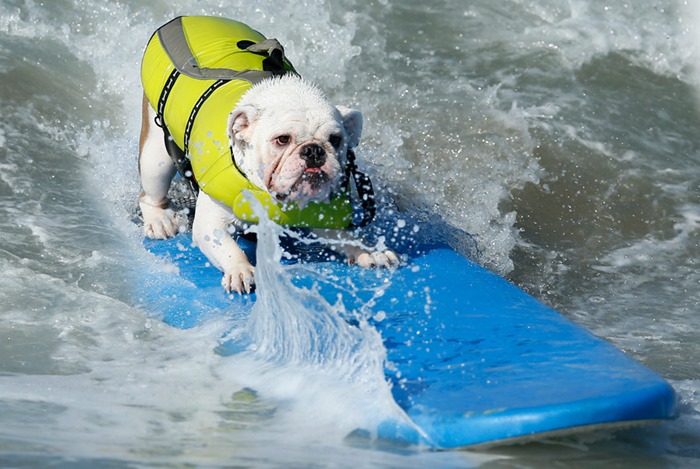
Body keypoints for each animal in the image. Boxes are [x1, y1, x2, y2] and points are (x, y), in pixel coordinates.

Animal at [138, 33, 400, 290]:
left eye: (335, 140)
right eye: (282, 139)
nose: (313, 151)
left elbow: (348, 237)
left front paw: (371, 251)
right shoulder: (211, 224)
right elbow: (228, 247)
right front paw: (240, 269)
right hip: (155, 159)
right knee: (149, 193)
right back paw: (159, 220)